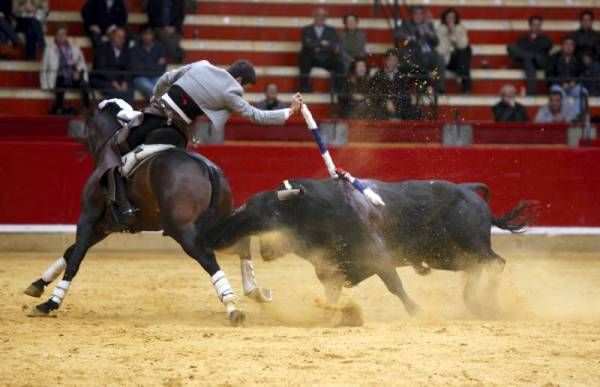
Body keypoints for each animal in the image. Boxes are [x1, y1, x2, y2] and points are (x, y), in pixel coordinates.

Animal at [22, 101, 262, 326]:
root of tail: (207, 168)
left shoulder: (88, 218)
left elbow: (75, 258)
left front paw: (50, 303)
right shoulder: (104, 226)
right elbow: (70, 251)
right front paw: (37, 285)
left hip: (183, 231)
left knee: (209, 259)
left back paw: (233, 307)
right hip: (219, 223)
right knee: (243, 245)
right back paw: (255, 291)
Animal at [212, 179, 540, 318]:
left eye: (264, 212)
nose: (221, 232)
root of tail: (470, 192)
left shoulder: (378, 257)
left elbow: (394, 284)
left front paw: (416, 311)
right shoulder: (331, 270)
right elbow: (332, 296)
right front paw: (331, 315)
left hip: (470, 244)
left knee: (496, 263)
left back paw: (486, 304)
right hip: (446, 255)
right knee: (477, 267)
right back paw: (474, 301)